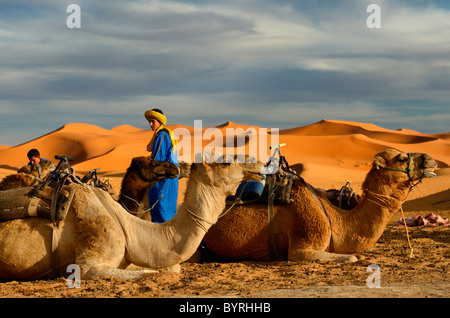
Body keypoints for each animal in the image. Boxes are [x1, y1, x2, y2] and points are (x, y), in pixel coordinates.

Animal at [0, 158, 264, 280]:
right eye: (226, 162)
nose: (259, 164)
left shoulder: (131, 256)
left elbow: (172, 267)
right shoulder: (89, 264)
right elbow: (150, 273)